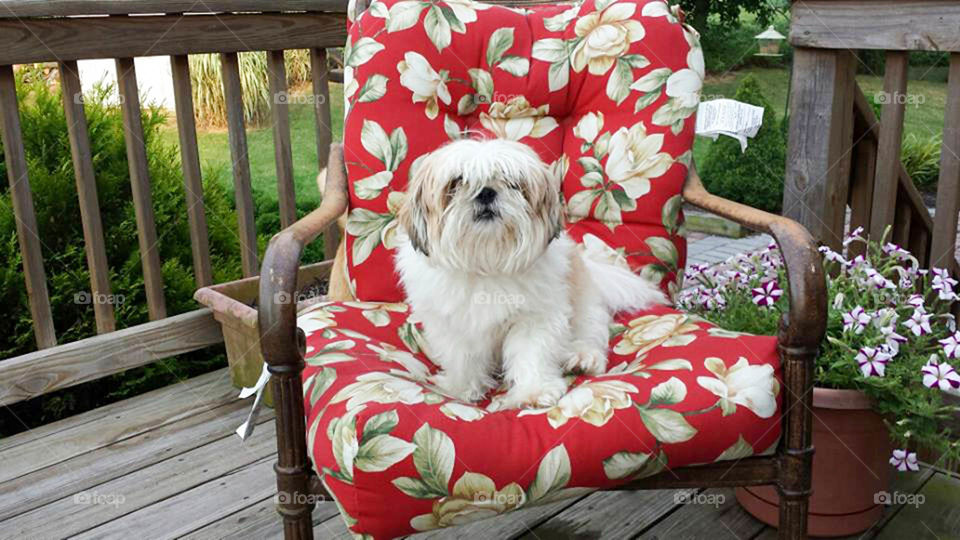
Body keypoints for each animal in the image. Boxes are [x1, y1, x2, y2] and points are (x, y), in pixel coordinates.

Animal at [394, 137, 664, 408]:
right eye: (457, 181)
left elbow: (531, 353)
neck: (486, 262)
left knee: (590, 331)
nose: (486, 192)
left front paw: (534, 391)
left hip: (585, 303)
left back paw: (582, 357)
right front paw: (461, 388)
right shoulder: (450, 323)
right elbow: (461, 356)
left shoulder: (533, 318)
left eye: (512, 182)